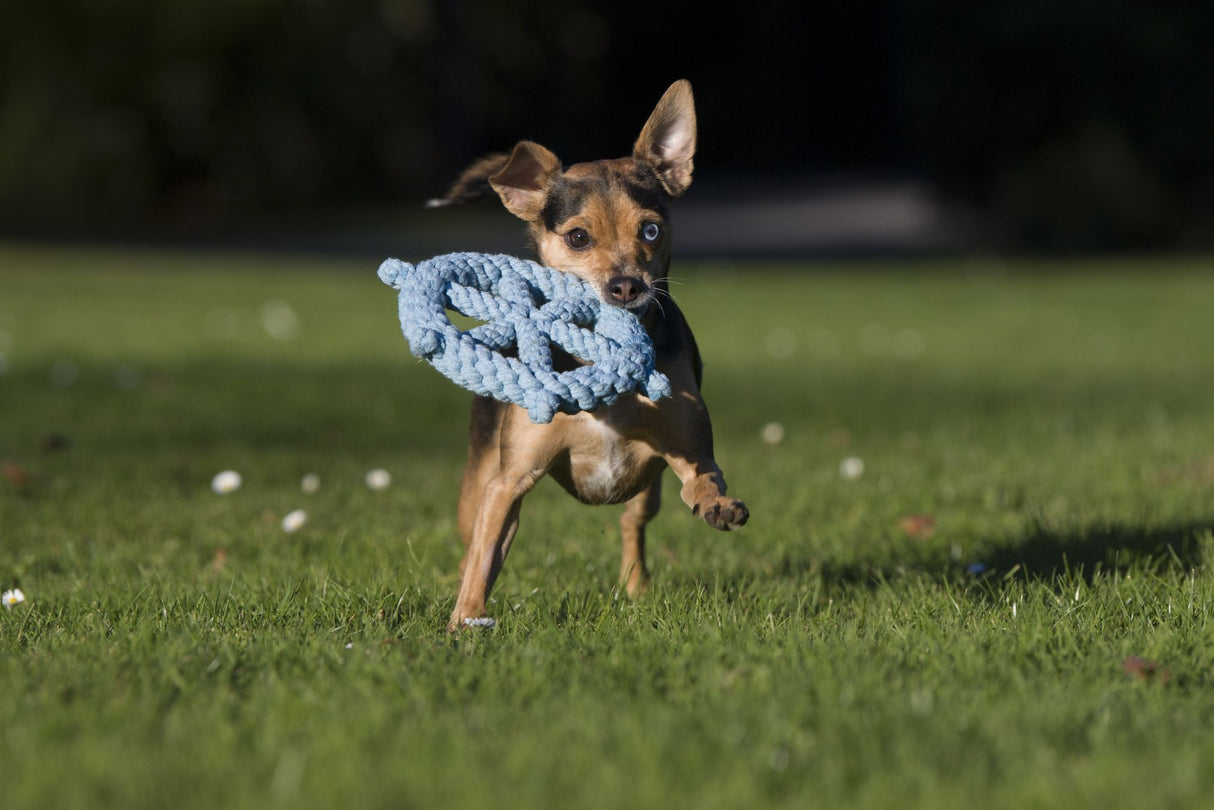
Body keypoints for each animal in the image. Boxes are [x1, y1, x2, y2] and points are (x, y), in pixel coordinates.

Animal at [427, 78, 747, 631]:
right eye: (577, 237)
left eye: (650, 230)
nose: (627, 286)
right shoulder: (507, 484)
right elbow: (485, 557)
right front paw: (465, 621)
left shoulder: (687, 449)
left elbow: (703, 478)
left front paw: (716, 505)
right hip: (477, 483)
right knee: (472, 543)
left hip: (646, 492)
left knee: (631, 525)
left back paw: (636, 588)